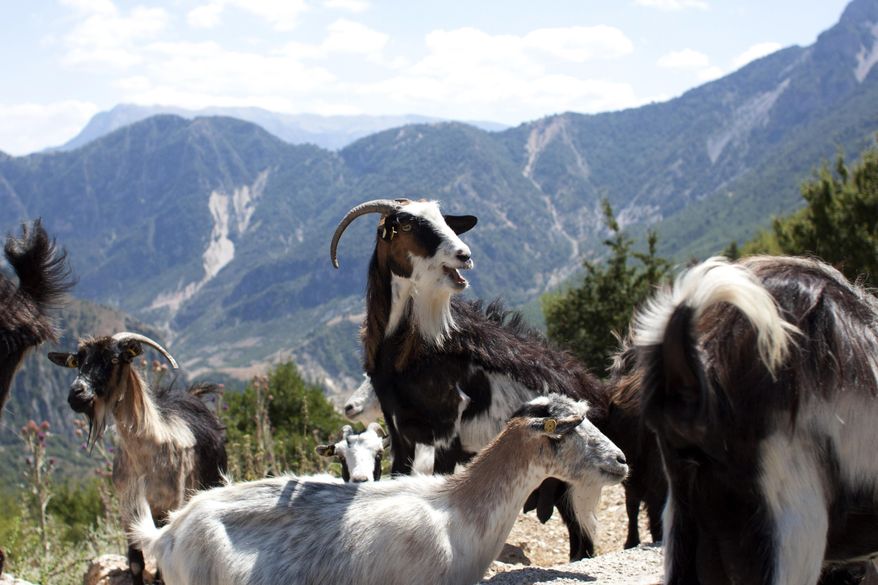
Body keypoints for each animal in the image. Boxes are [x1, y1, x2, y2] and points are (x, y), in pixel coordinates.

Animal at [48, 332, 227, 585]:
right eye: (78, 361)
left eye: (114, 359)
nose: (76, 395)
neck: (146, 457)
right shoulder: (127, 507)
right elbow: (135, 562)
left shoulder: (171, 504)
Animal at [330, 198, 617, 560]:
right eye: (406, 224)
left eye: (444, 220)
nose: (463, 254)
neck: (406, 352)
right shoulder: (399, 433)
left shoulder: (447, 431)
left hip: (577, 480)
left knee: (583, 538)